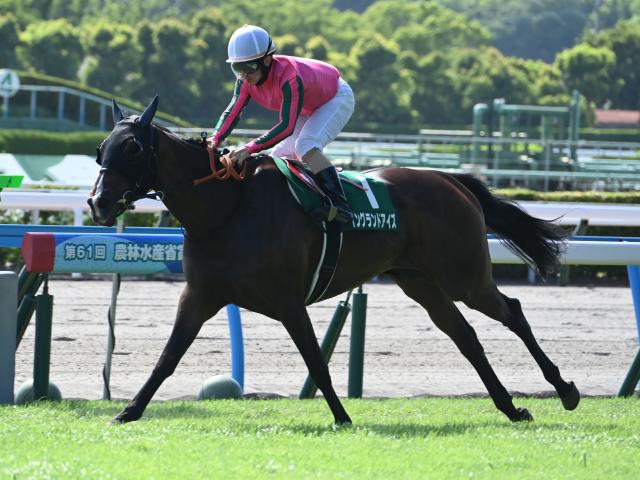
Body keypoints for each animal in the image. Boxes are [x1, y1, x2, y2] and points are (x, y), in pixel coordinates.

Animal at [88, 96, 580, 425]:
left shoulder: (288, 302)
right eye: (100, 149)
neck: (227, 207)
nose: (98, 202)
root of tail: (450, 179)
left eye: (133, 148)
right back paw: (511, 407)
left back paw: (566, 390)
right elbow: (167, 357)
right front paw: (128, 411)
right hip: (420, 281)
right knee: (465, 336)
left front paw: (342, 416)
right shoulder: (199, 295)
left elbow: (316, 361)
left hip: (464, 276)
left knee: (511, 312)